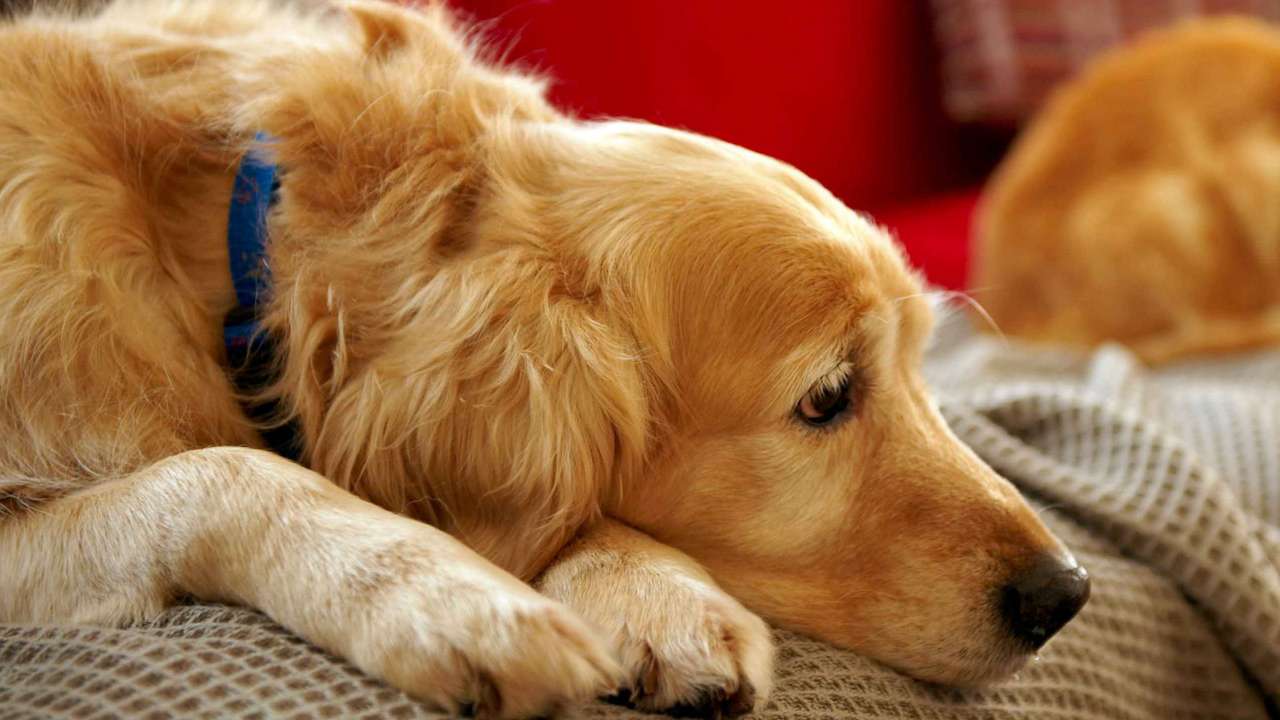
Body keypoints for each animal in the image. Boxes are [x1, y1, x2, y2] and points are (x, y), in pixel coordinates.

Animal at [2, 2, 1090, 712]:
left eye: (921, 362)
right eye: (826, 397)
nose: (1066, 594)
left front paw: (652, 595)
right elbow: (224, 473)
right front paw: (457, 602)